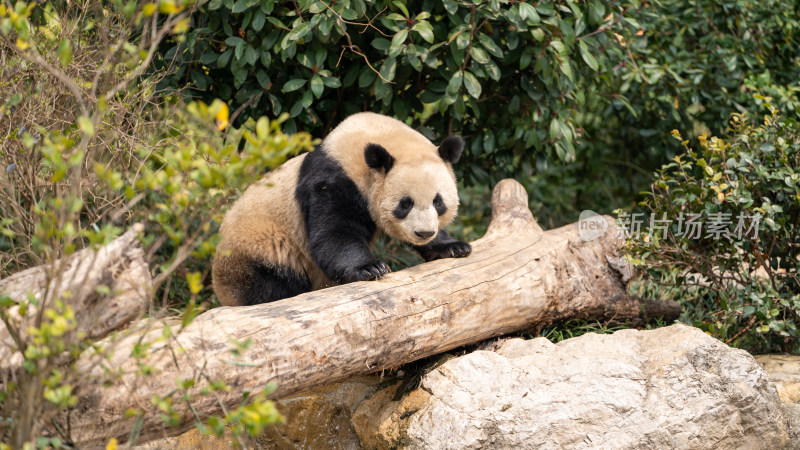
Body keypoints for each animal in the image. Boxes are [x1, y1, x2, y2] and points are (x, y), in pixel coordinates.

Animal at [212, 113, 472, 306]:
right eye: (405, 204)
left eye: (438, 202)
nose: (424, 233)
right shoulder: (332, 182)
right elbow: (334, 232)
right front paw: (370, 268)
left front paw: (452, 246)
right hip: (258, 249)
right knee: (269, 286)